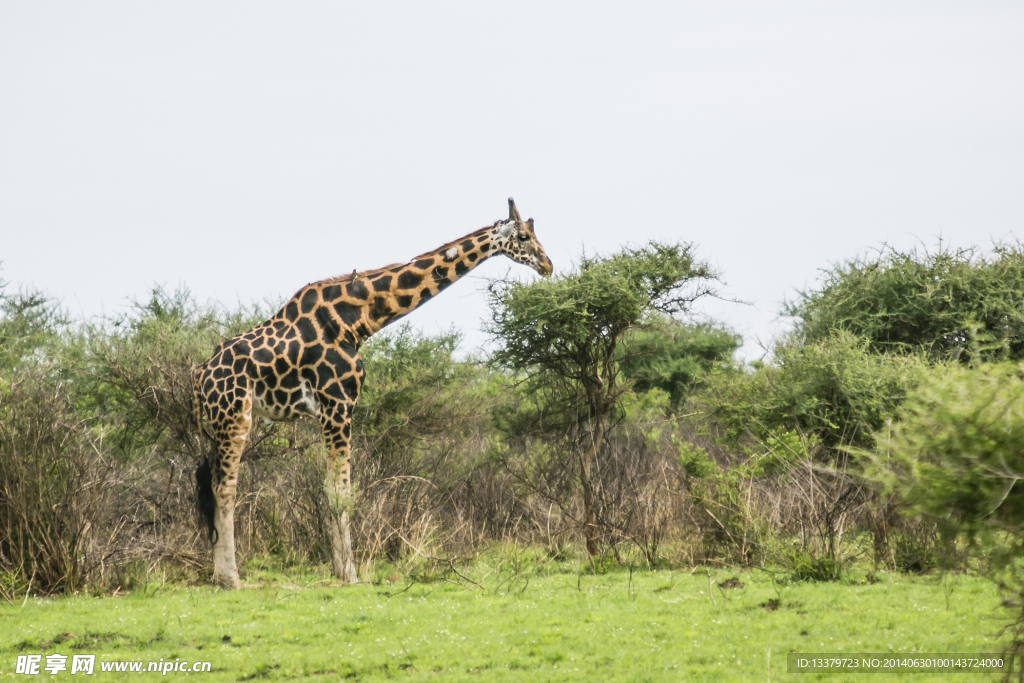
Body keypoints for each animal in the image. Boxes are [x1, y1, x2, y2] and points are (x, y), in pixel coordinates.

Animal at [194, 197, 557, 589]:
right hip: (234, 416)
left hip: (220, 422)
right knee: (224, 486)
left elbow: (331, 490)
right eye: (523, 237)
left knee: (213, 485)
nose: (548, 265)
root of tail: (200, 376)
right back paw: (230, 578)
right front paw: (350, 574)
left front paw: (340, 569)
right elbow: (341, 492)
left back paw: (222, 574)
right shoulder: (338, 404)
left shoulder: (331, 410)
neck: (357, 319)